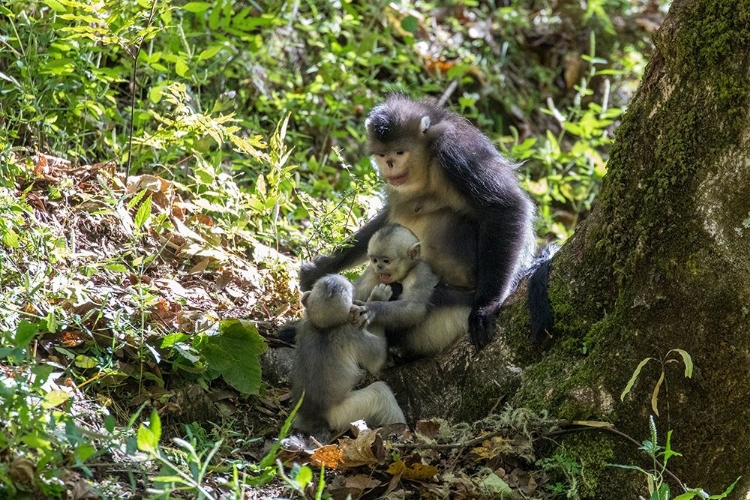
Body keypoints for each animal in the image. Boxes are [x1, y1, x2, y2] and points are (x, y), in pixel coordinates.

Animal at [290, 274, 406, 442]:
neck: (325, 328)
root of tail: (316, 418)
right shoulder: (353, 332)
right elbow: (377, 361)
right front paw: (377, 298)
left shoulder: (304, 324)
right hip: (346, 413)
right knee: (380, 392)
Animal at [300, 94, 552, 348]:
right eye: (383, 155)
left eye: (400, 153)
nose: (390, 164)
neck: (428, 156)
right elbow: (387, 218)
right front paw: (320, 269)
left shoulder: (456, 151)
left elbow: (506, 207)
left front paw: (486, 306)